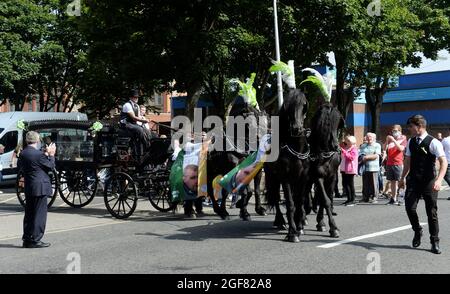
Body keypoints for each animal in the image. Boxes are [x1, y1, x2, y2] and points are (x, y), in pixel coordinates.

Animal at [264, 88, 310, 242]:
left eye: (303, 105)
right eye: (287, 107)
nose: (296, 129)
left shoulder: (302, 178)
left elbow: (299, 201)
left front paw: (299, 226)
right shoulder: (285, 178)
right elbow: (290, 204)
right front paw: (292, 233)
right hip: (272, 178)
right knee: (276, 198)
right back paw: (280, 221)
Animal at [310, 102, 344, 238]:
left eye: (337, 121)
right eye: (326, 122)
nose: (335, 146)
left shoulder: (332, 176)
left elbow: (326, 197)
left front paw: (323, 223)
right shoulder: (317, 176)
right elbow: (325, 200)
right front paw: (333, 227)